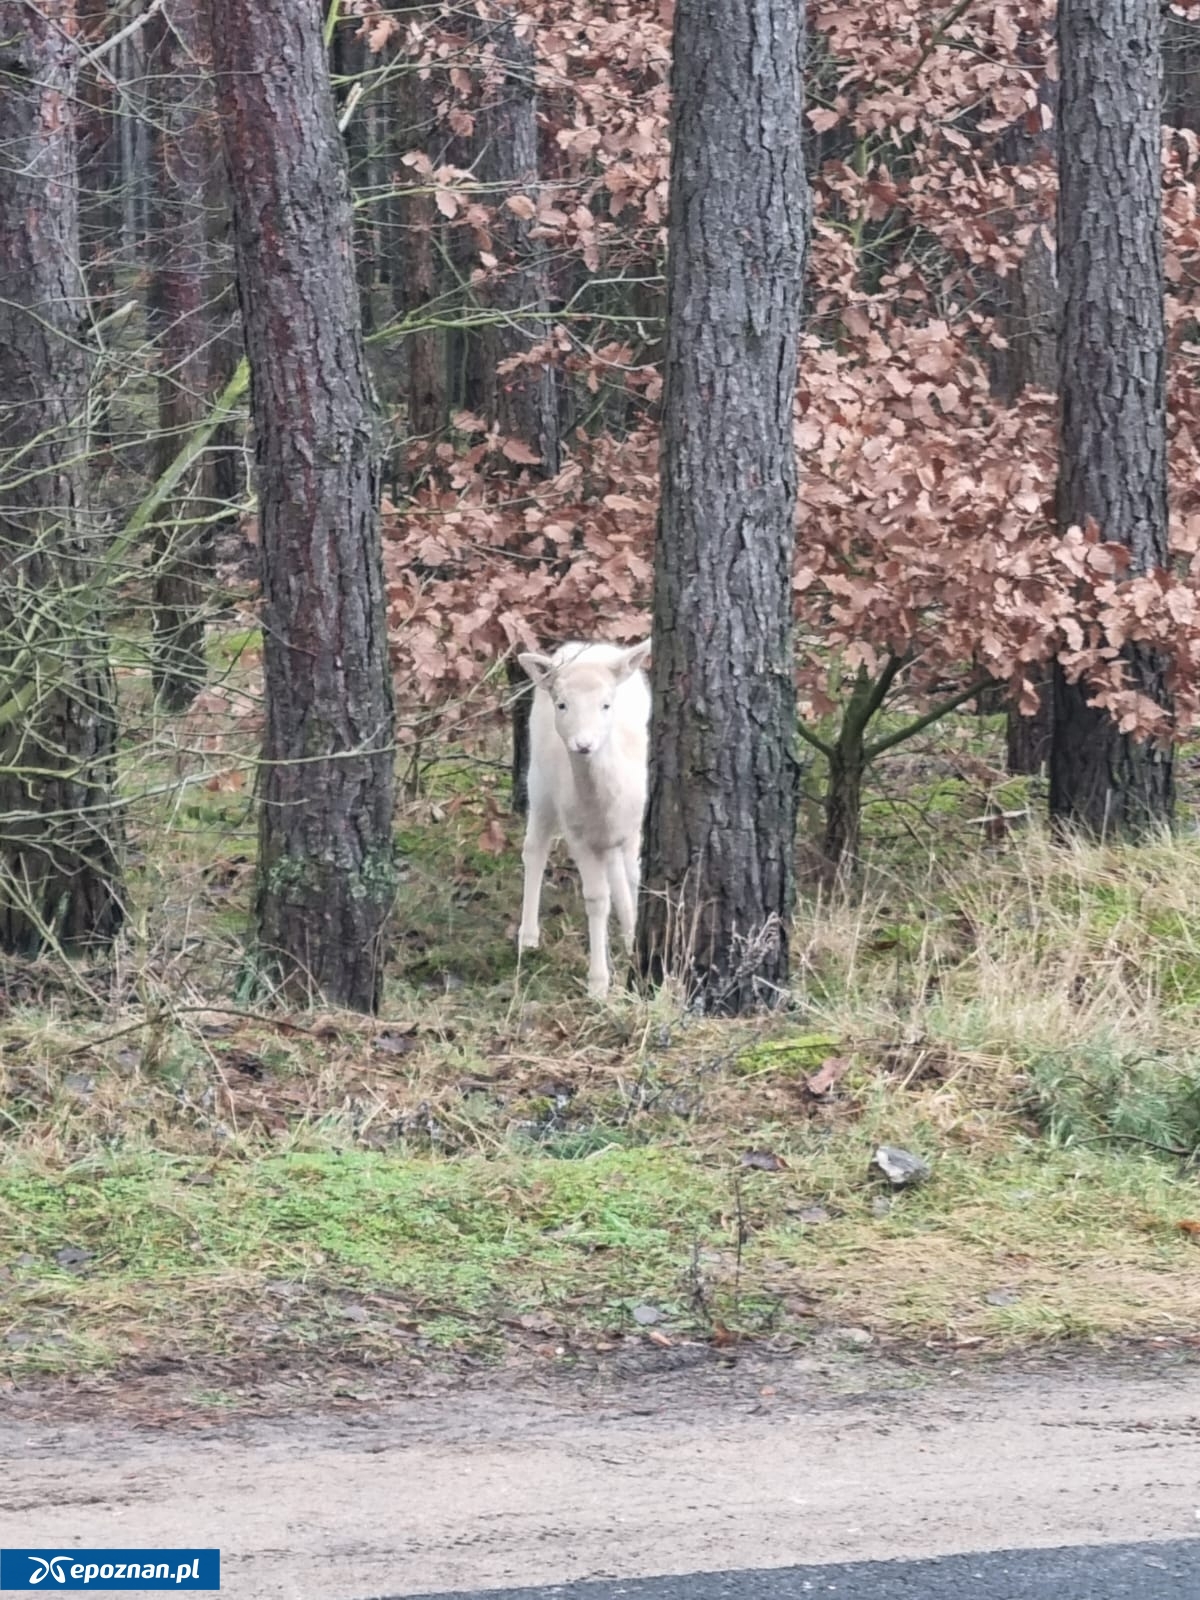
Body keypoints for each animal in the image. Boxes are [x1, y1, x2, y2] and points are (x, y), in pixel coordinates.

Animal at [515, 640, 652, 992]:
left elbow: (635, 877)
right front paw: (598, 983)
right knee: (534, 850)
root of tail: (581, 645)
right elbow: (596, 899)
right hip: (539, 781)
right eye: (562, 704)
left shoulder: (634, 826)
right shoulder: (576, 834)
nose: (584, 744)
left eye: (606, 705)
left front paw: (633, 941)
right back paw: (528, 937)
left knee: (618, 872)